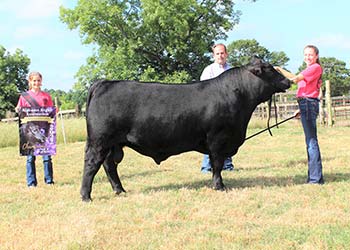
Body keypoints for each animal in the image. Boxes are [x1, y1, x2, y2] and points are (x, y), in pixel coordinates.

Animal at [80, 57, 292, 201]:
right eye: (269, 69)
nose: (288, 81)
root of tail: (104, 83)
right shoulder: (218, 139)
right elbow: (217, 164)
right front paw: (219, 186)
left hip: (113, 144)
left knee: (109, 166)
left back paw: (120, 190)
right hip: (99, 141)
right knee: (91, 165)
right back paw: (86, 196)